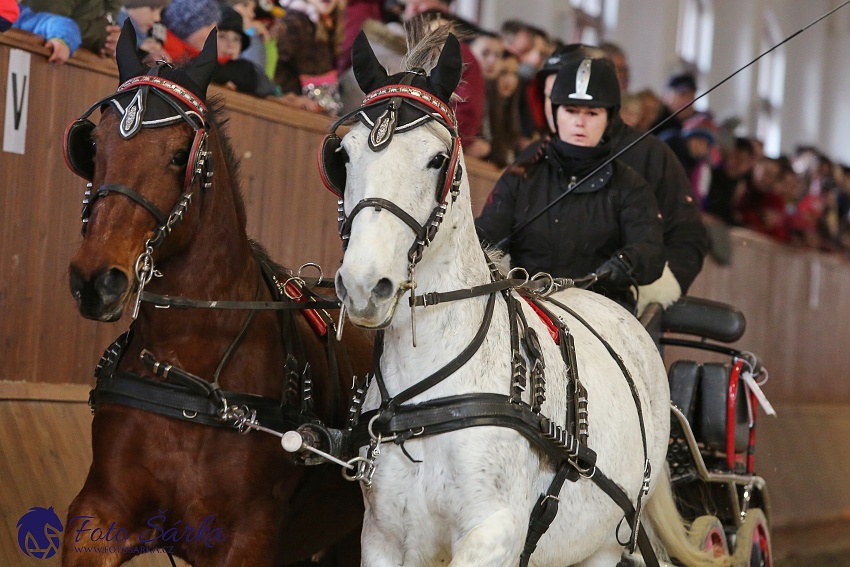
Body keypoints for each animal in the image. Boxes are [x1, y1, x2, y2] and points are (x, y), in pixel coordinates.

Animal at [63, 23, 368, 567]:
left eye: (179, 156)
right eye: (93, 145)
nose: (96, 280)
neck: (190, 370)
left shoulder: (246, 540)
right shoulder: (97, 513)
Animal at [322, 30, 724, 567]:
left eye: (437, 160)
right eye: (343, 157)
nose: (366, 285)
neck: (429, 397)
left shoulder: (495, 534)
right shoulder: (383, 536)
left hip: (603, 544)